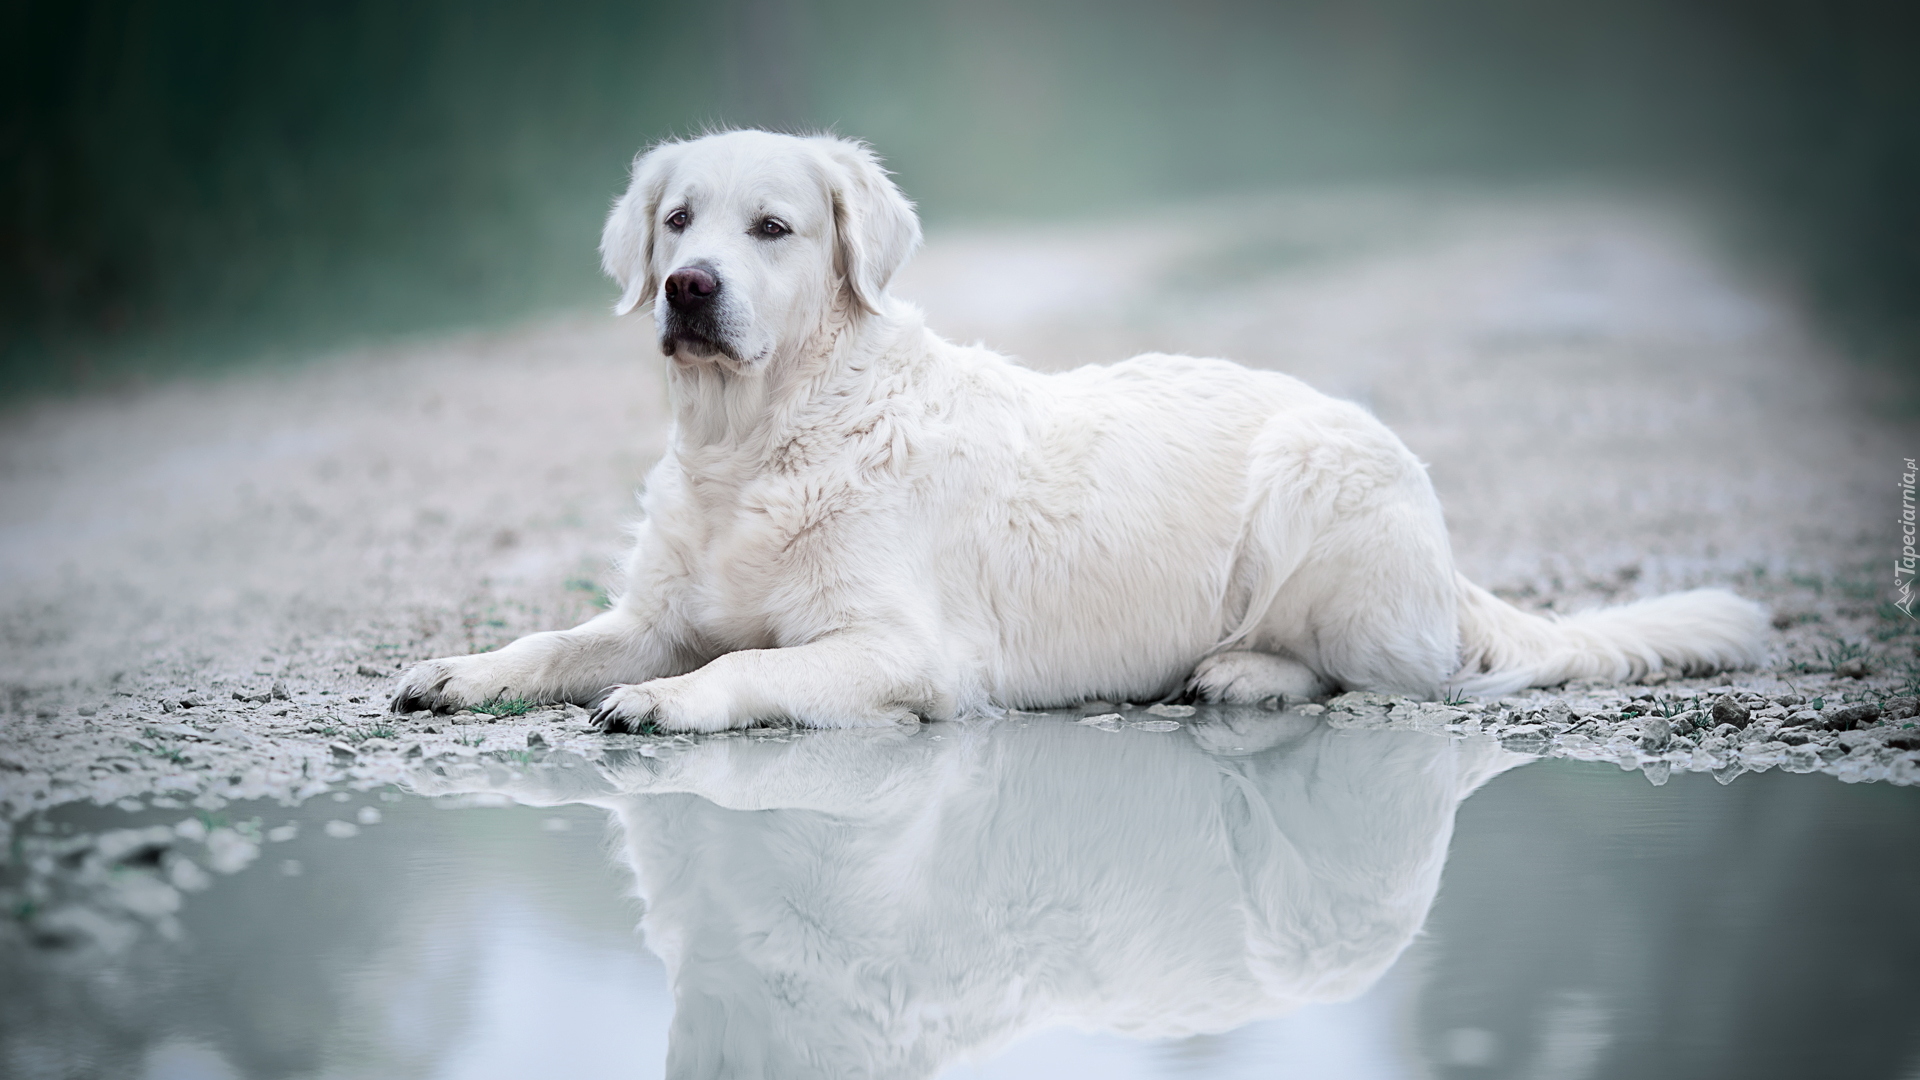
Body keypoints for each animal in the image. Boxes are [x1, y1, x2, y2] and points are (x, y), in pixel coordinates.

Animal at [389, 130, 1766, 726]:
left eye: (772, 229)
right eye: (677, 221)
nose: (688, 288)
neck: (760, 439)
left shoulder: (902, 648)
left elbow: (746, 667)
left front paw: (666, 706)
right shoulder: (657, 610)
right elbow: (562, 638)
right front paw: (465, 670)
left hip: (1317, 488)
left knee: (1395, 670)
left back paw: (1244, 670)